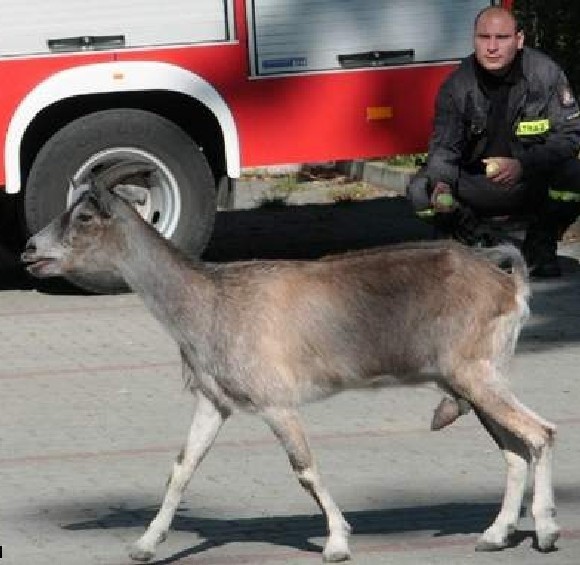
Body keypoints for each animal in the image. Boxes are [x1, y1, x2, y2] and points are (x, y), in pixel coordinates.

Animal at [20, 163, 560, 560]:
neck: (211, 302)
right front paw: (145, 544)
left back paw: (547, 531)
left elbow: (305, 469)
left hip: (476, 374)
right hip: (473, 381)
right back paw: (494, 536)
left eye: (86, 217)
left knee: (540, 435)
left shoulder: (277, 404)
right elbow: (181, 468)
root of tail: (508, 283)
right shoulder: (214, 403)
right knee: (515, 451)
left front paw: (338, 542)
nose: (30, 251)